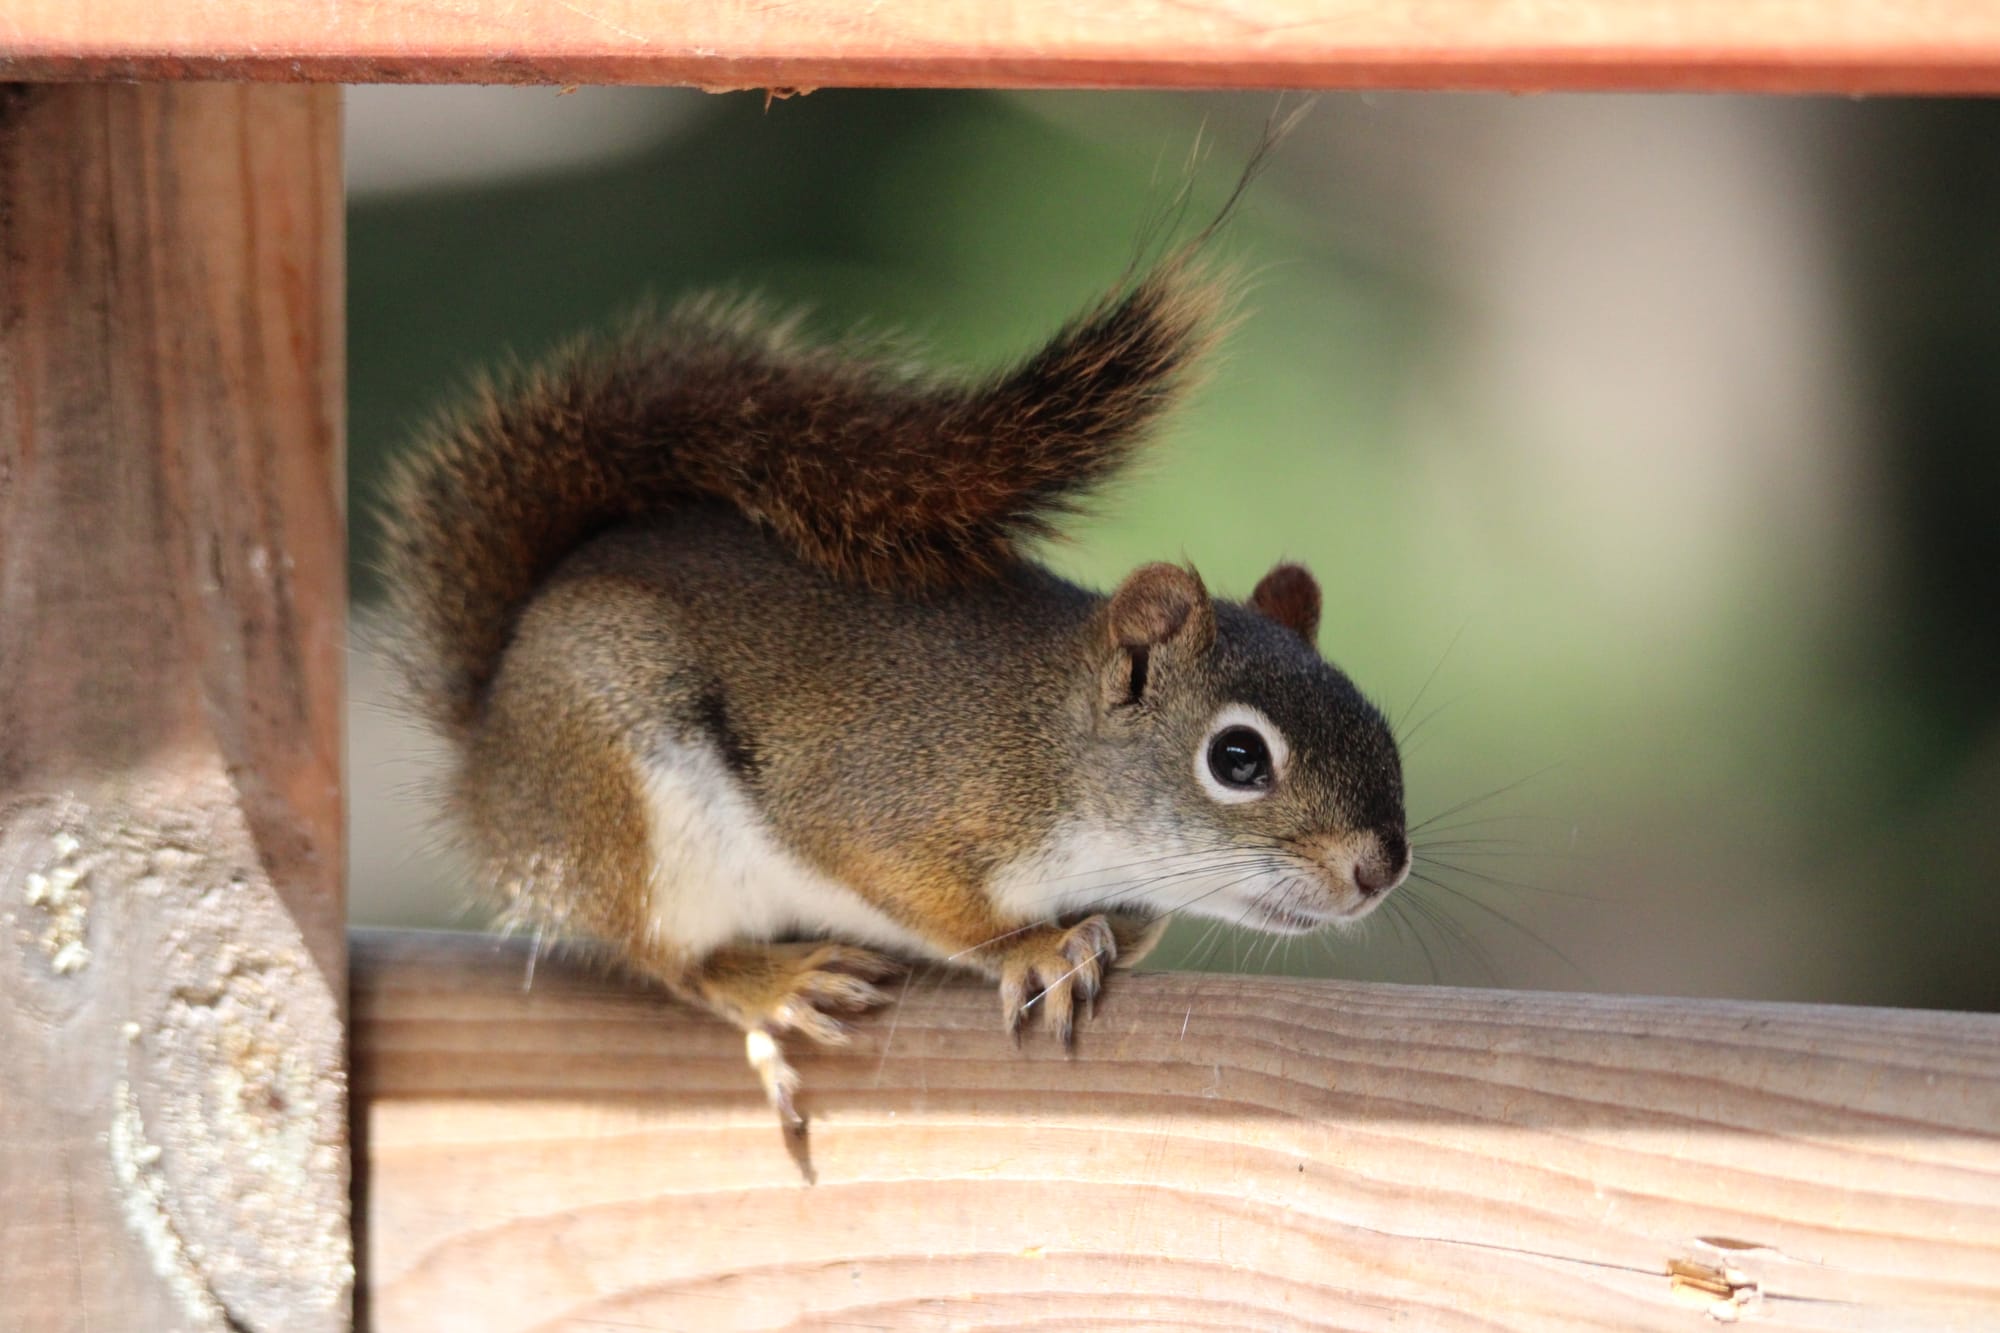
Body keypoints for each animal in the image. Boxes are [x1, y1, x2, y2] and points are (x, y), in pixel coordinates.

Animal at [377, 221, 1411, 1128]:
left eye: (1380, 726)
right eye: (1237, 758)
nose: (1378, 871)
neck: (1049, 743)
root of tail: (487, 764)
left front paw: (1113, 930)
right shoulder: (891, 800)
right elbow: (926, 896)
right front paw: (1040, 948)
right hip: (622, 802)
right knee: (665, 952)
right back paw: (771, 983)